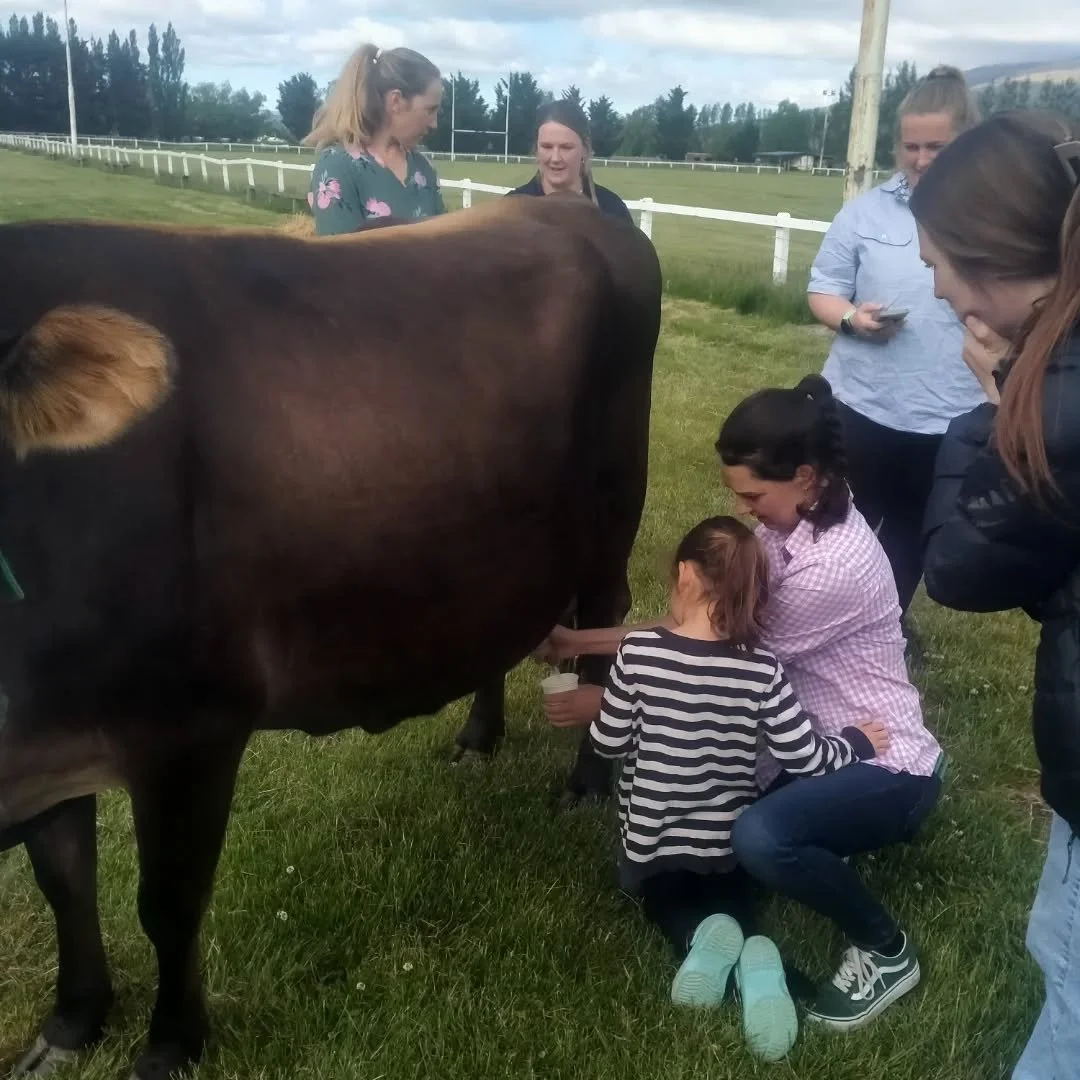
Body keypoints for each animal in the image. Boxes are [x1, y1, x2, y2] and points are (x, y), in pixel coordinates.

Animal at [0, 192, 661, 1079]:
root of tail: (567, 204)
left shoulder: (191, 725)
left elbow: (167, 903)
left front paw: (173, 1041)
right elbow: (64, 880)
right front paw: (72, 1021)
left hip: (610, 520)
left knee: (604, 624)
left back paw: (586, 780)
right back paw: (479, 733)